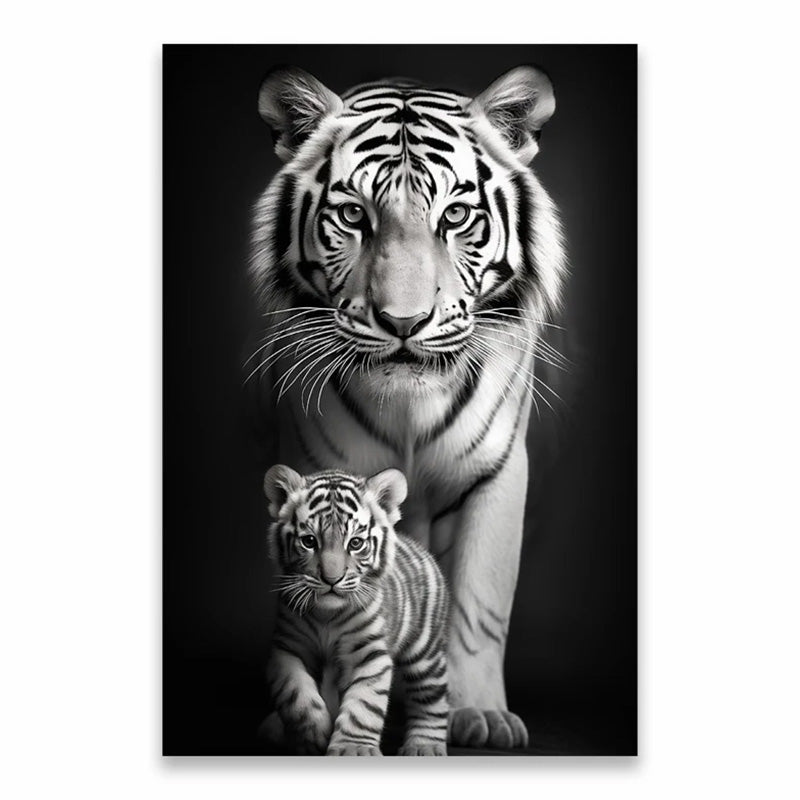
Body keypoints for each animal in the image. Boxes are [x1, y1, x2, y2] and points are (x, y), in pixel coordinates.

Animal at [262, 464, 449, 756]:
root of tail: (418, 547)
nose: (331, 579)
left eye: (355, 543)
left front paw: (353, 749)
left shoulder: (369, 654)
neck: (326, 615)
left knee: (431, 698)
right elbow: (295, 692)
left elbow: (365, 704)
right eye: (309, 541)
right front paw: (314, 733)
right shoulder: (287, 648)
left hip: (425, 651)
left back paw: (424, 746)